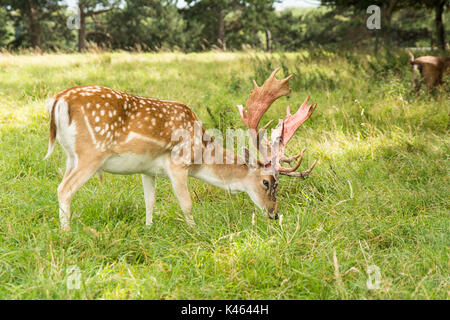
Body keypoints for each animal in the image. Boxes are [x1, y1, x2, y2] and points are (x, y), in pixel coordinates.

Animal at [44, 69, 314, 231]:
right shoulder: (178, 164)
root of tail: (59, 100)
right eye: (267, 182)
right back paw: (66, 232)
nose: (274, 214)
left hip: (70, 155)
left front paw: (148, 228)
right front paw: (194, 231)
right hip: (91, 153)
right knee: (64, 188)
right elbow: (186, 203)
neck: (201, 153)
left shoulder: (147, 170)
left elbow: (149, 201)